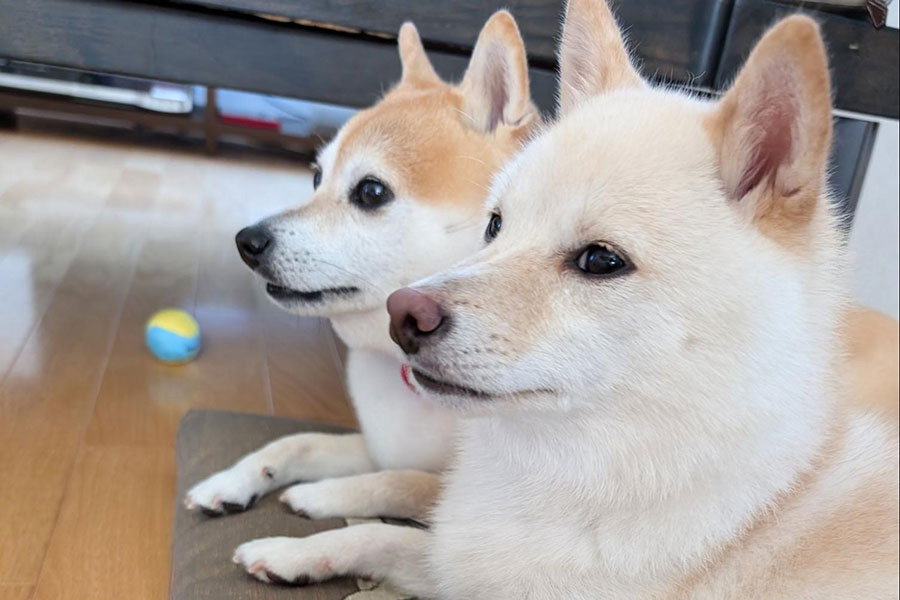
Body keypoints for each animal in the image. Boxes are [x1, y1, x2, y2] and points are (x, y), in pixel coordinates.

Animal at [182, 11, 536, 520]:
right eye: (316, 178)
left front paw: (322, 496)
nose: (247, 241)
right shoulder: (374, 446)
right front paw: (233, 479)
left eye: (370, 192)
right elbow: (299, 442)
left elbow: (402, 481)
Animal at [232, 2, 900, 596]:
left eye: (601, 261)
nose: (405, 314)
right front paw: (297, 540)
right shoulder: (461, 555)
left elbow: (401, 502)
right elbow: (385, 518)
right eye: (495, 225)